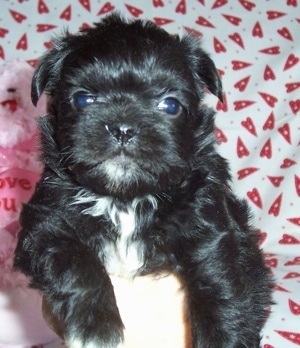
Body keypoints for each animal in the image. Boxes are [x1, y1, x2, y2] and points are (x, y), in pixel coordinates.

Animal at [13, 14, 272, 348]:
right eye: (83, 99)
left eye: (170, 105)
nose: (122, 128)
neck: (125, 199)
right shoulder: (44, 226)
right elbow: (75, 259)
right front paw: (96, 328)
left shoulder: (211, 224)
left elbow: (220, 280)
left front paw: (224, 338)